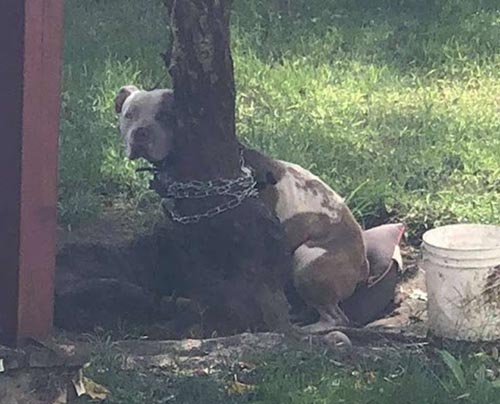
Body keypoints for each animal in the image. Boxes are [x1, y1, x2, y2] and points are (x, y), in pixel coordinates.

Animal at [115, 84, 370, 332]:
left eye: (166, 116)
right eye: (129, 115)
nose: (140, 132)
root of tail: (362, 263)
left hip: (308, 261)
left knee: (337, 318)